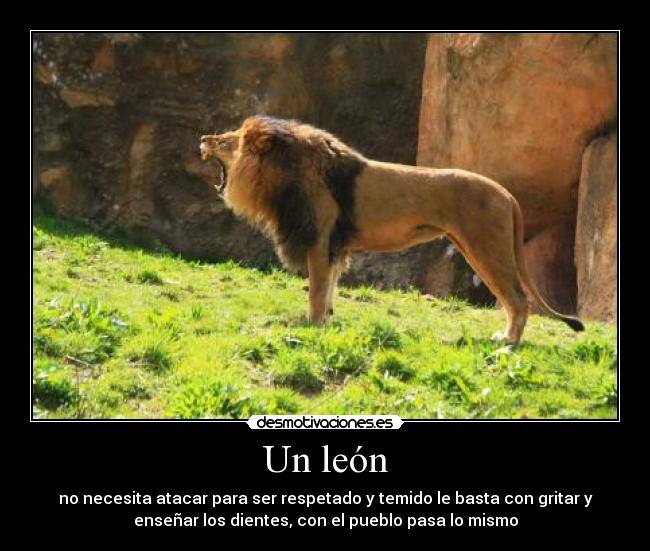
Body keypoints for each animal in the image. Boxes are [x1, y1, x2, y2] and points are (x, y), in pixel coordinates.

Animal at [200, 115, 584, 343]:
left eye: (227, 139)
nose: (203, 137)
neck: (286, 172)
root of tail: (507, 194)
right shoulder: (334, 246)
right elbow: (330, 289)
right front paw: (326, 322)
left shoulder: (321, 239)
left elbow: (317, 290)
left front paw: (311, 326)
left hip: (486, 247)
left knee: (518, 299)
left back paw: (507, 343)